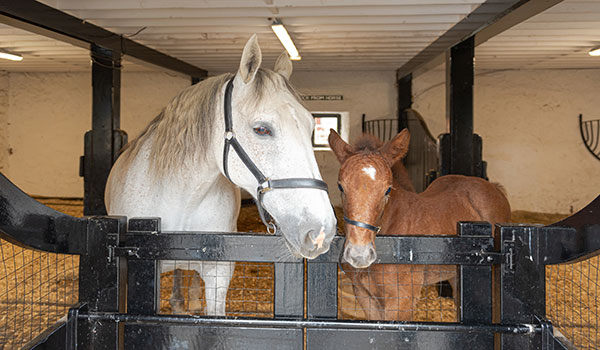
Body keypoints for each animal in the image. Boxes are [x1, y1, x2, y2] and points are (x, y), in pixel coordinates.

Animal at [328, 128, 510, 320]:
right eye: (340, 187)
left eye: (387, 189)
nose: (359, 255)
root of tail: (495, 187)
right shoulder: (364, 296)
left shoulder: (403, 300)